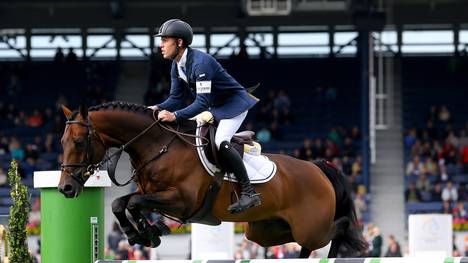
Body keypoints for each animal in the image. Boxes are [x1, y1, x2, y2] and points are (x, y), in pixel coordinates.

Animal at [57, 102, 366, 258]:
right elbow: (121, 204)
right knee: (300, 244)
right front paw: (146, 233)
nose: (66, 188)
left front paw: (146, 232)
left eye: (79, 142)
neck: (157, 145)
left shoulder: (182, 201)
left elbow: (132, 202)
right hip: (265, 230)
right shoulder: (153, 195)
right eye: (61, 142)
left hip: (310, 227)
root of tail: (318, 168)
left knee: (339, 227)